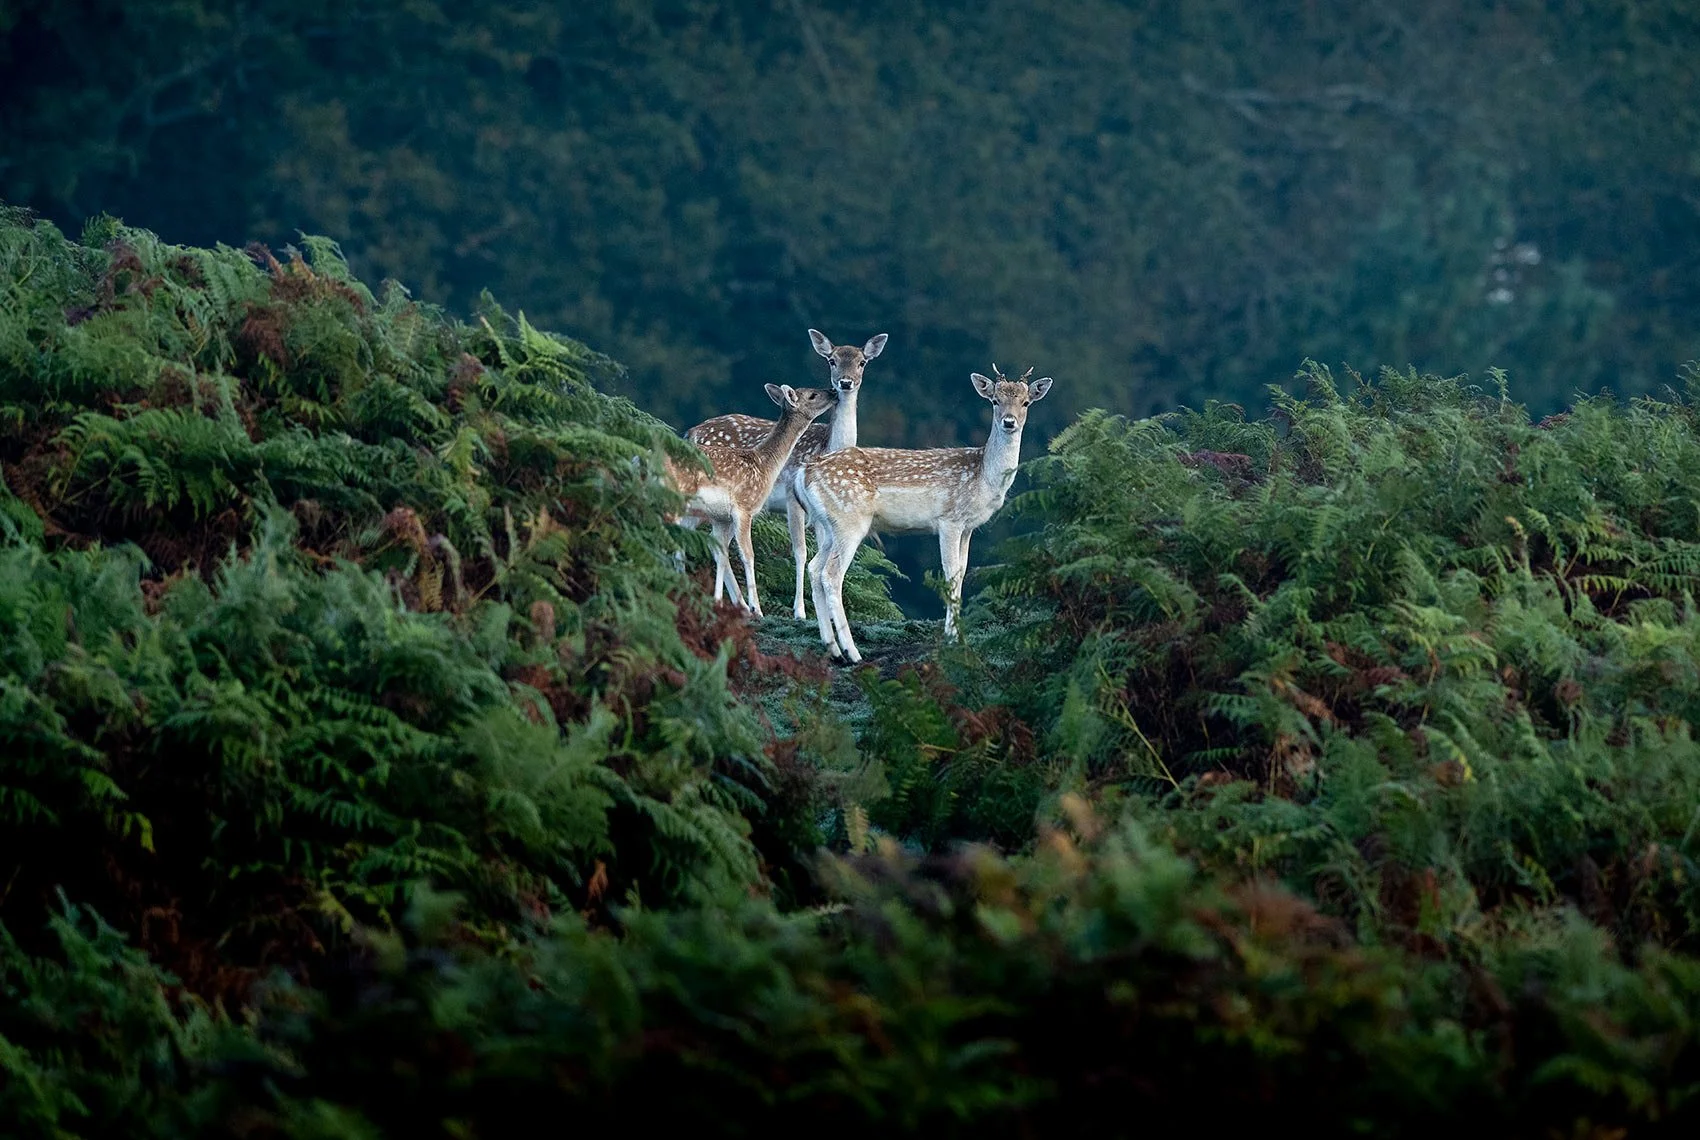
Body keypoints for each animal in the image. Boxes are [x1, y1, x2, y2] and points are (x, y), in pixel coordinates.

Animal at [666, 383, 837, 617]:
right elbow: (748, 554)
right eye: (812, 395)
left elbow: (721, 552)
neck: (764, 462)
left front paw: (720, 601)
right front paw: (758, 608)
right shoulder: (744, 509)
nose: (834, 391)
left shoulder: (722, 517)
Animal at [686, 329, 888, 620]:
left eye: (862, 362)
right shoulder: (793, 500)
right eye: (832, 360)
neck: (826, 446)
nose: (845, 383)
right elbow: (800, 551)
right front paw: (800, 611)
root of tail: (691, 432)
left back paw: (741, 604)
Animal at [796, 364, 1053, 664]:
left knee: (815, 567)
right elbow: (950, 573)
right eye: (994, 401)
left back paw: (833, 648)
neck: (983, 478)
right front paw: (952, 638)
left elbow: (962, 572)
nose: (1009, 422)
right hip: (851, 521)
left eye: (1025, 403)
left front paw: (957, 635)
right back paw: (853, 652)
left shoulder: (968, 527)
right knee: (831, 573)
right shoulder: (949, 520)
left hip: (827, 524)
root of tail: (805, 472)